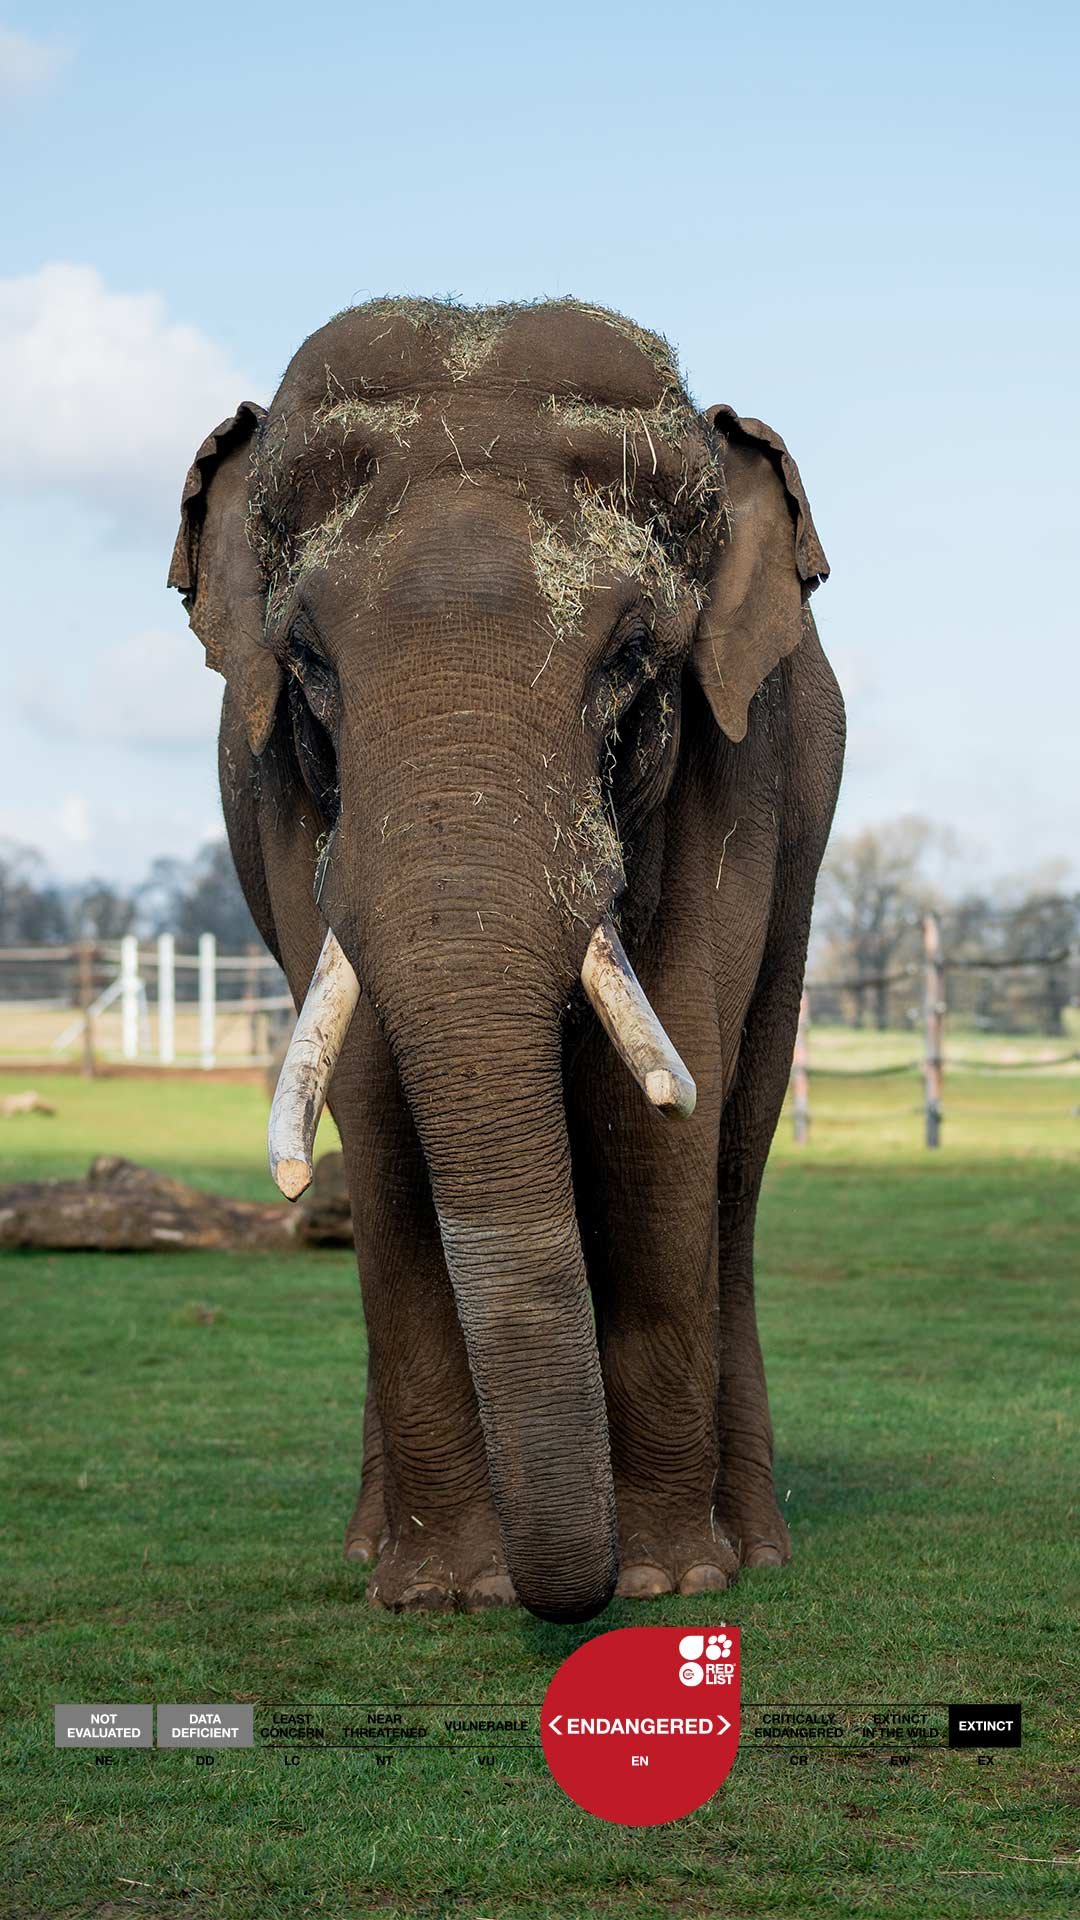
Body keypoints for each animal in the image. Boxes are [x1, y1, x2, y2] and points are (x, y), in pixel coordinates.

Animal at [169, 297, 844, 1624]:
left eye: (633, 655)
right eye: (307, 661)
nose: (561, 1596)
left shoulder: (737, 772)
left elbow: (661, 1119)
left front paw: (670, 1577)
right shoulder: (283, 802)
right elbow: (379, 1114)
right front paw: (441, 1590)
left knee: (737, 1153)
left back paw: (756, 1545)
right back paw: (370, 1549)